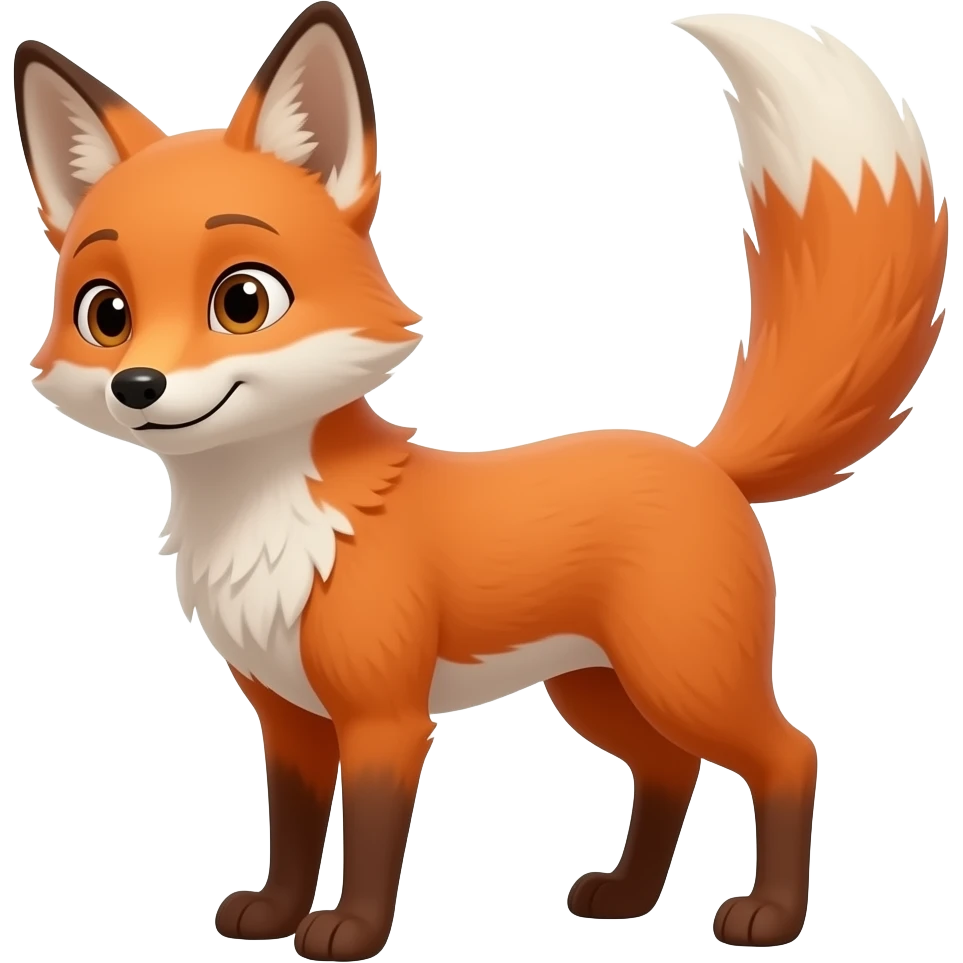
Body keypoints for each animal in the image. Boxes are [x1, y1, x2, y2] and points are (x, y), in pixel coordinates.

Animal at [16, 4, 949, 958]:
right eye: (106, 314)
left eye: (242, 301)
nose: (139, 386)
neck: (272, 521)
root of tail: (702, 460)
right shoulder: (288, 718)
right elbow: (294, 827)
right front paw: (272, 914)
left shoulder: (385, 717)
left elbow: (369, 836)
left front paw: (348, 930)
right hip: (596, 690)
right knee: (669, 766)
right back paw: (628, 894)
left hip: (684, 677)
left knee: (790, 754)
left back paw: (770, 915)